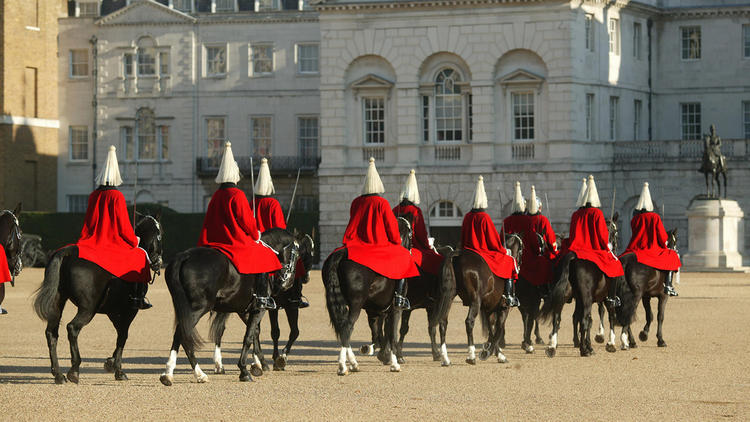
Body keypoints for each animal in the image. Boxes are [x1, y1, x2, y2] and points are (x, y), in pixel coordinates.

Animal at [33, 213, 163, 384]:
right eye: (160, 235)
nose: (158, 262)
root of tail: (68, 252)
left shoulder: (114, 312)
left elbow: (120, 336)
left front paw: (110, 363)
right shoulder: (128, 312)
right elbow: (123, 337)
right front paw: (118, 369)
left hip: (58, 304)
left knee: (51, 333)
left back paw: (59, 374)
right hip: (88, 309)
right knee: (72, 328)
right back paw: (74, 370)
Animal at [160, 227, 298, 386]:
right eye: (296, 254)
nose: (289, 283)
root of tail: (184, 256)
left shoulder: (244, 310)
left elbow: (254, 332)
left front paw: (258, 364)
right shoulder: (259, 309)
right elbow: (248, 336)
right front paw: (244, 370)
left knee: (180, 335)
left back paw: (169, 374)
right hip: (197, 309)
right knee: (182, 334)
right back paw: (198, 374)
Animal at [324, 216, 418, 374]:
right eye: (411, 235)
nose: (410, 255)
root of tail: (341, 254)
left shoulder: (375, 311)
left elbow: (378, 332)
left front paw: (383, 355)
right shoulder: (395, 310)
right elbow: (392, 334)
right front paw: (394, 362)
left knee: (344, 328)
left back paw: (353, 363)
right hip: (356, 305)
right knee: (347, 328)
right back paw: (344, 366)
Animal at [440, 232, 524, 364]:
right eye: (521, 249)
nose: (518, 267)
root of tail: (458, 255)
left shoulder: (488, 309)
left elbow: (491, 329)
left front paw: (495, 352)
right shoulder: (503, 308)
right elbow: (498, 329)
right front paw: (489, 353)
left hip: (450, 296)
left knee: (443, 321)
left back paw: (446, 358)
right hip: (475, 301)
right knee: (469, 322)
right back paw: (471, 356)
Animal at [540, 214, 640, 356]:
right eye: (615, 231)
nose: (615, 246)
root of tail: (572, 256)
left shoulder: (582, 300)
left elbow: (587, 319)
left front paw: (590, 343)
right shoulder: (607, 298)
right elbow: (609, 316)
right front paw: (610, 343)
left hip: (565, 297)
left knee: (558, 318)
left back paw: (553, 347)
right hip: (587, 299)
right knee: (583, 320)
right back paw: (583, 350)